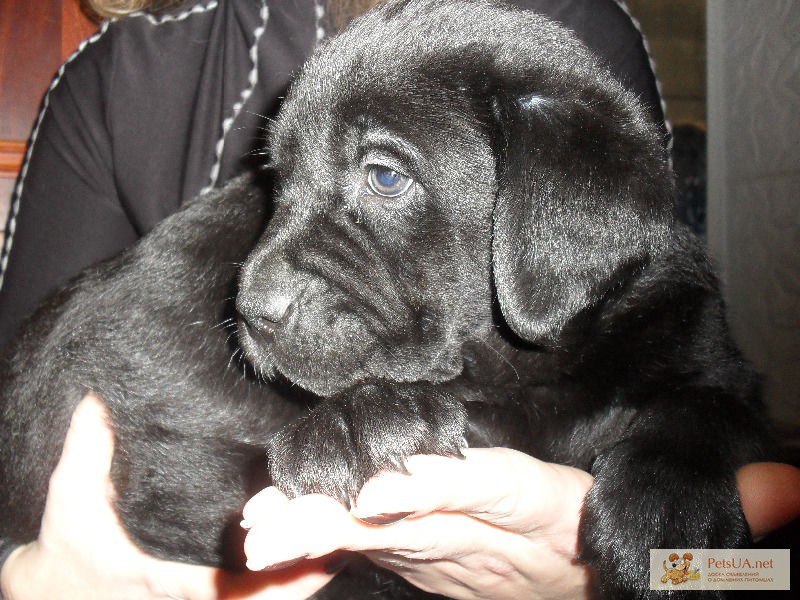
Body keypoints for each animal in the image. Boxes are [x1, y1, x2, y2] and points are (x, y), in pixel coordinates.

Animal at [0, 1, 776, 600]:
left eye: (384, 176)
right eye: (277, 179)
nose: (252, 311)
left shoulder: (703, 347)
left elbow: (702, 406)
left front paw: (663, 513)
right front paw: (365, 422)